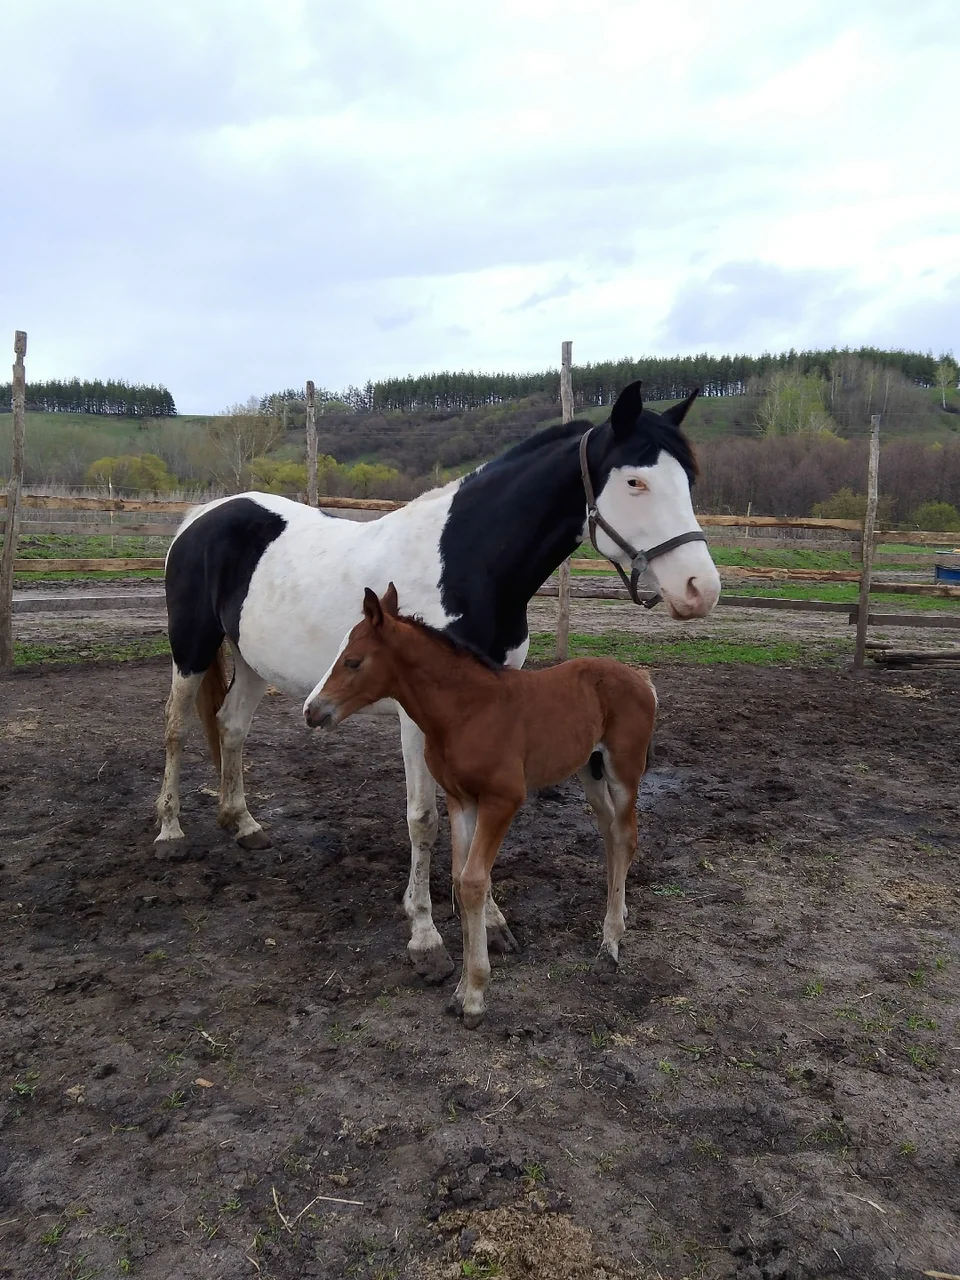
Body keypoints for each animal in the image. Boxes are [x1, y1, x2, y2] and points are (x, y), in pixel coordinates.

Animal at [155, 380, 720, 982]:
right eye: (635, 481)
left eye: (688, 480)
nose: (700, 589)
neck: (470, 563)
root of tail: (202, 515)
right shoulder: (416, 716)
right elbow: (423, 821)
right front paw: (426, 939)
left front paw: (489, 922)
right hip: (191, 649)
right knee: (176, 730)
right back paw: (170, 833)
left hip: (253, 661)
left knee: (231, 728)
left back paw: (242, 822)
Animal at [303, 583, 657, 1028]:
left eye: (353, 660)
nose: (311, 710)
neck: (466, 711)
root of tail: (640, 676)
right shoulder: (461, 800)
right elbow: (460, 880)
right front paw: (460, 992)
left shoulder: (502, 800)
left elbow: (474, 881)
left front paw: (474, 995)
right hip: (588, 770)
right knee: (610, 833)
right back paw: (617, 919)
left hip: (623, 770)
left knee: (626, 835)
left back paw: (610, 944)